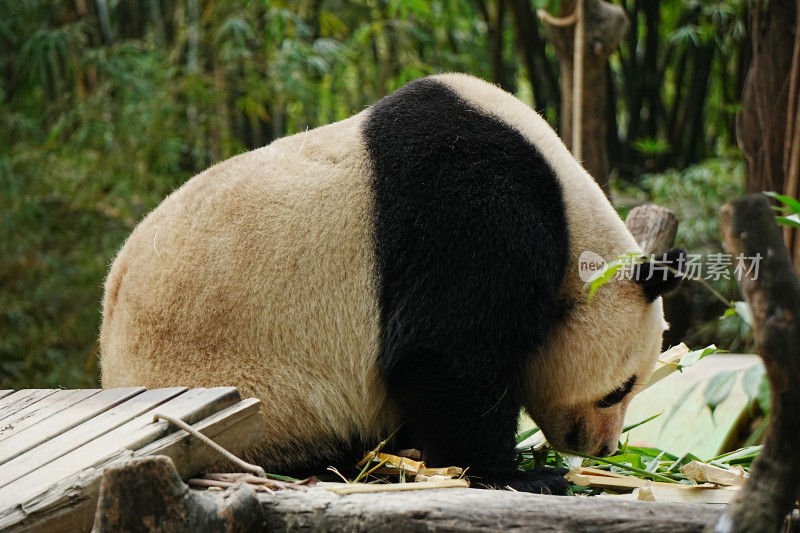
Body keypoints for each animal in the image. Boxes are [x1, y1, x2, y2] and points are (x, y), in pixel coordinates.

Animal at [100, 72, 684, 492]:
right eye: (621, 389)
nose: (603, 448)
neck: (569, 213)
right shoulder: (469, 206)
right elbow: (449, 354)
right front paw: (520, 473)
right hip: (261, 391)